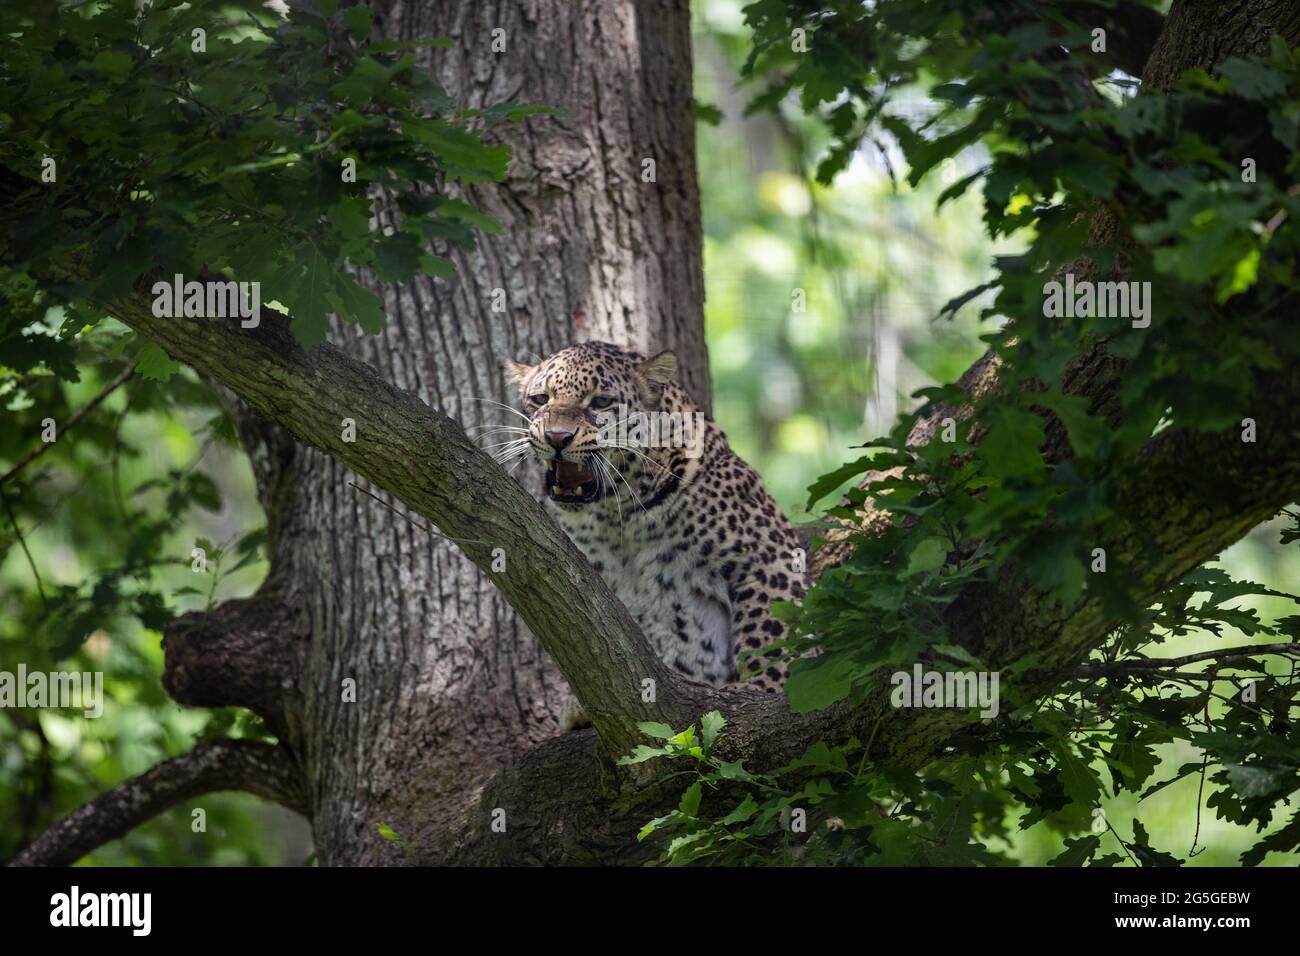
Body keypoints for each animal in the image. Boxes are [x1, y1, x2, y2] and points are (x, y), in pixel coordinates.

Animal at [500, 341, 807, 730]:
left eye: (601, 402)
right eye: (540, 399)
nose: (556, 437)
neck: (617, 516)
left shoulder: (766, 556)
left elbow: (773, 632)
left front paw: (764, 689)